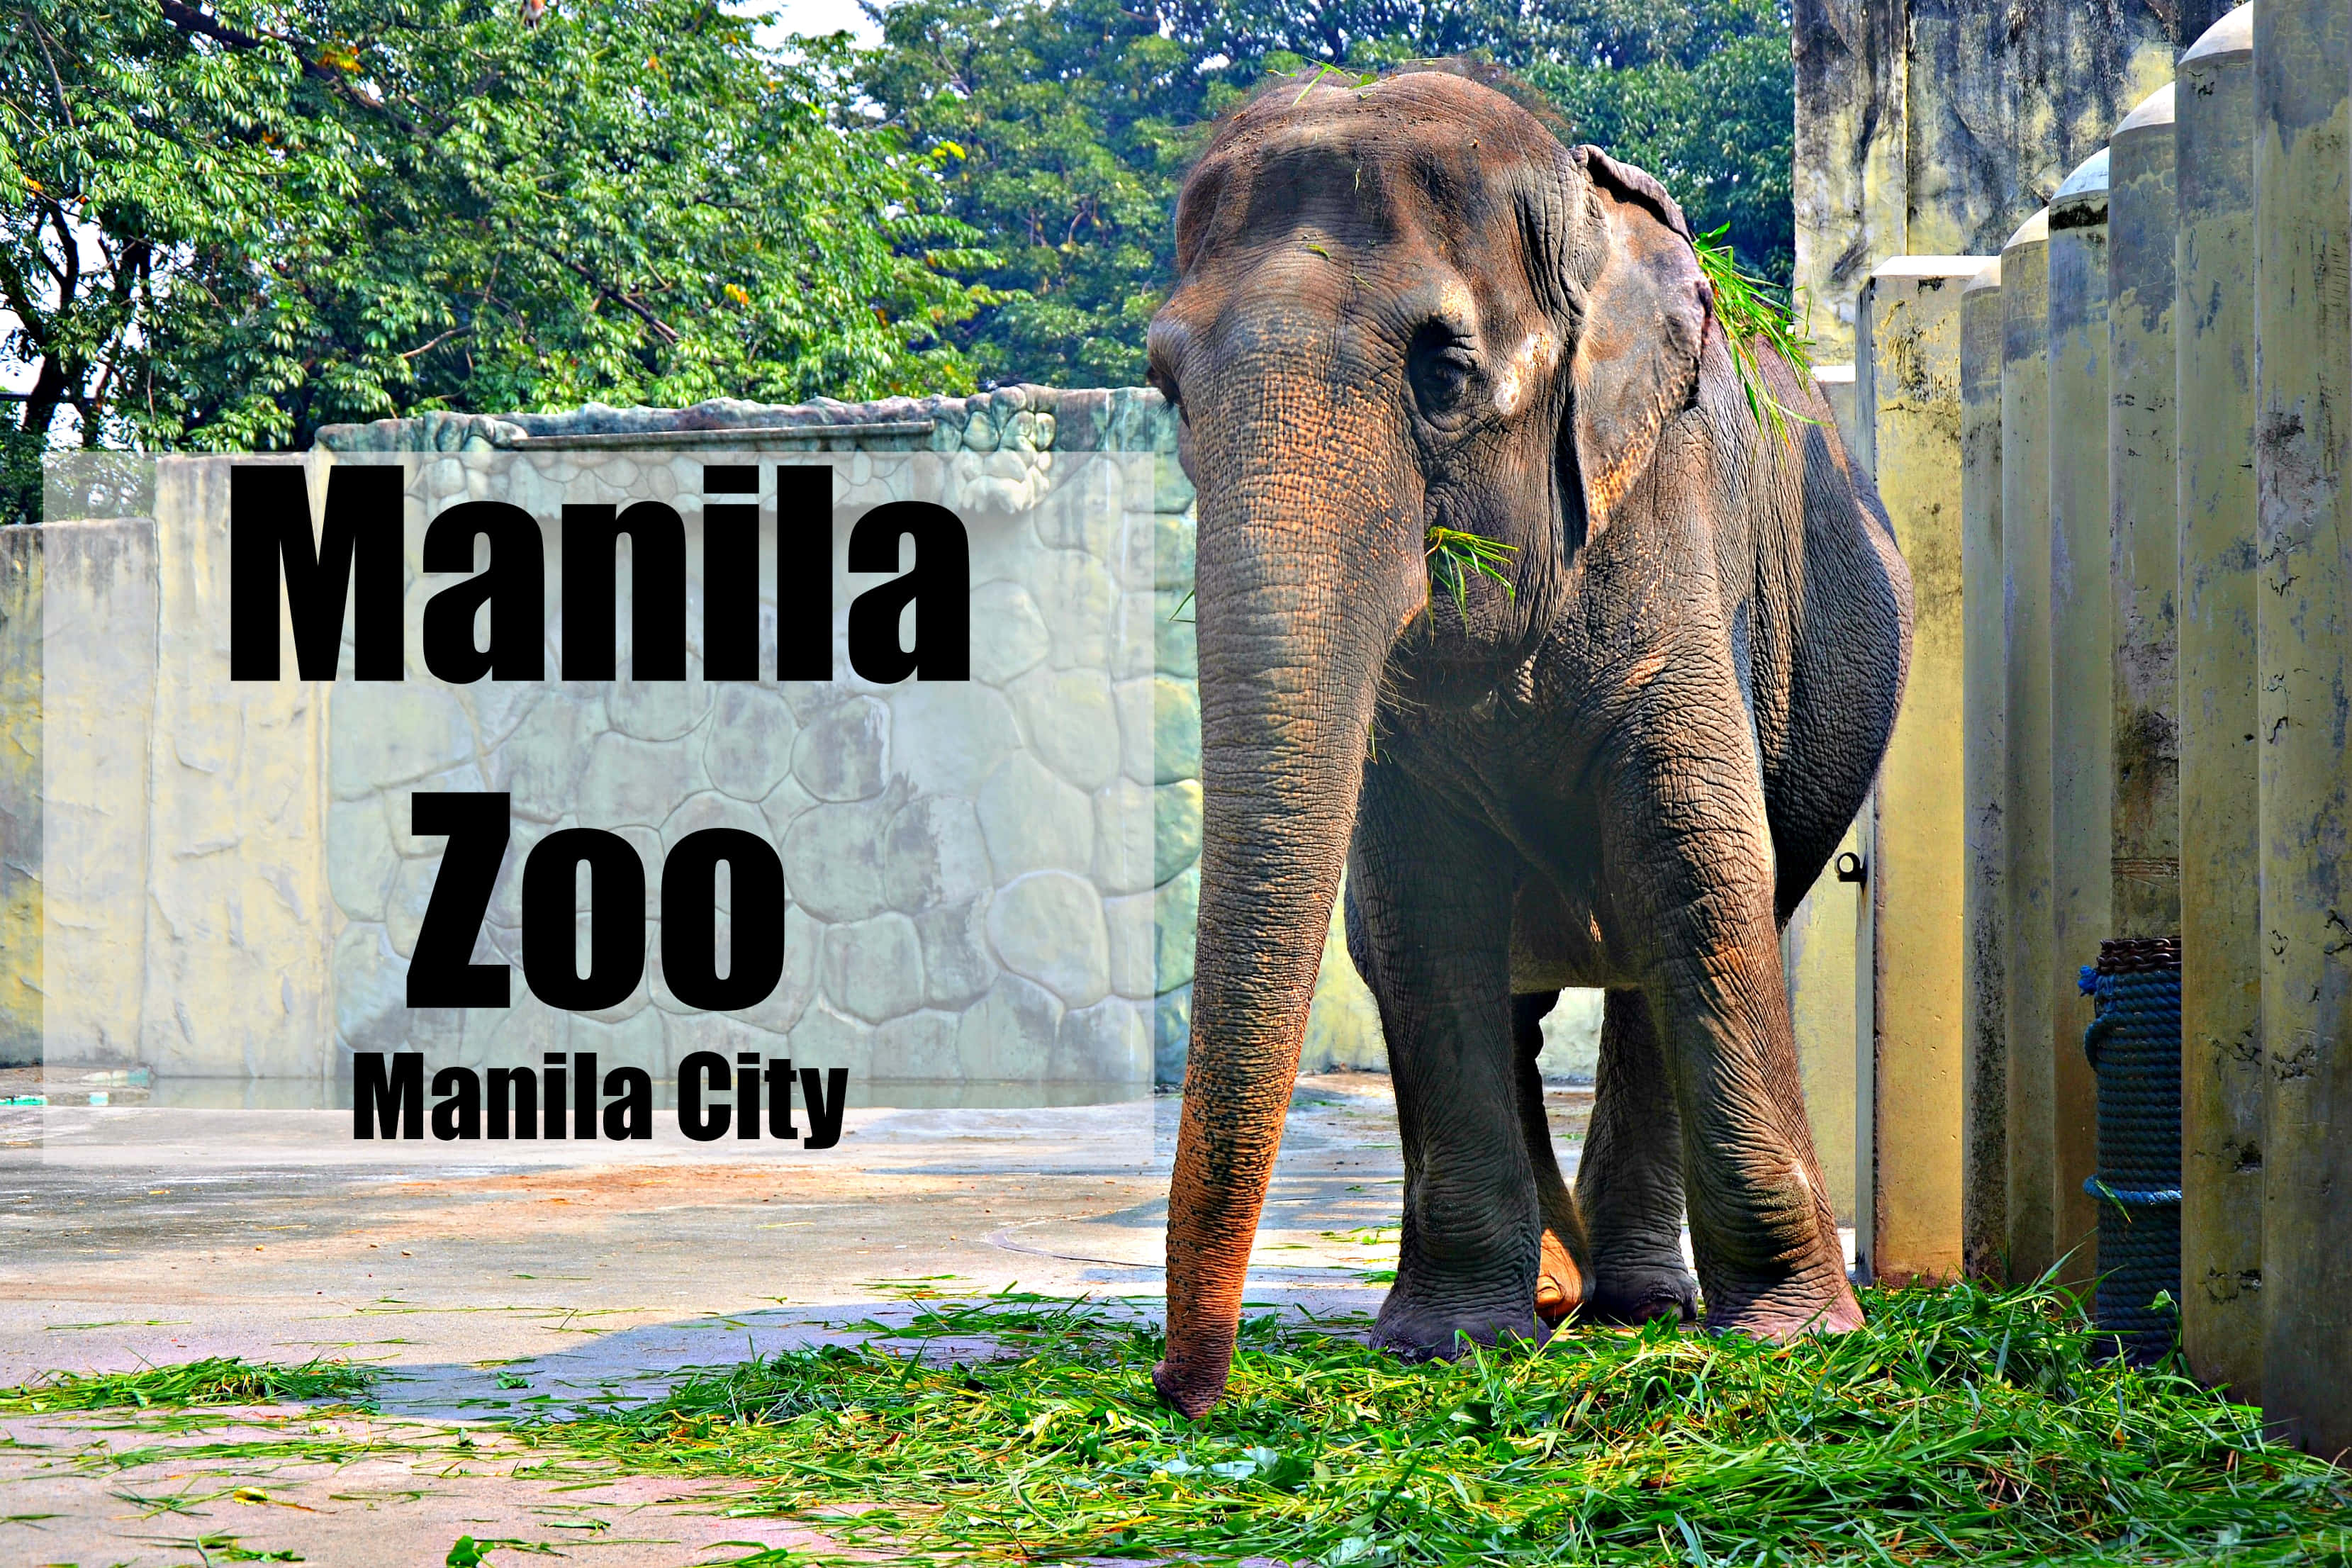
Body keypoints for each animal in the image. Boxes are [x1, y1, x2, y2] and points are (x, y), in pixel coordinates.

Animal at [1142, 65, 1913, 1418]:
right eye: (1164, 386)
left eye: (1443, 370)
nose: (1183, 1393)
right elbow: (1419, 907)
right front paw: (1448, 1340)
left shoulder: (1671, 514)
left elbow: (1698, 867)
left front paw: (1797, 1343)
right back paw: (1559, 1299)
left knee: (1676, 933)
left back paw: (1638, 1307)